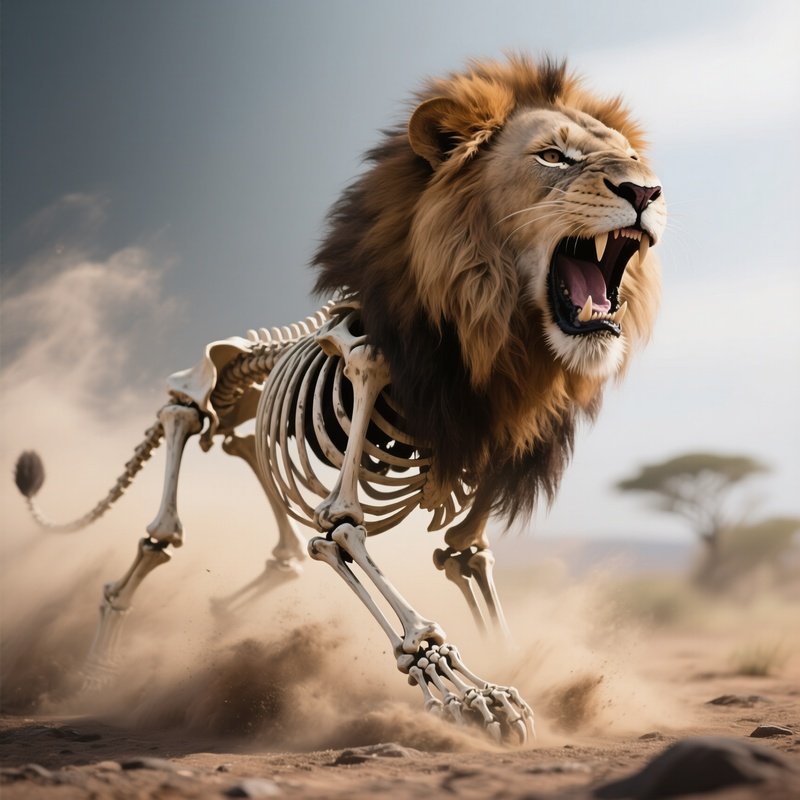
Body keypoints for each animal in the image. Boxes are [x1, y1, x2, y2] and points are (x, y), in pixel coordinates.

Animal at [15, 55, 664, 742]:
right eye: (553, 156)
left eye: (631, 156)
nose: (646, 193)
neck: (491, 346)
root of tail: (247, 345)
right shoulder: (365, 393)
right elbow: (341, 533)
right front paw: (469, 694)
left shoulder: (501, 447)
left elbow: (465, 552)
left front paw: (527, 674)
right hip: (191, 401)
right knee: (165, 505)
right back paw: (93, 676)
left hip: (256, 427)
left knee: (266, 509)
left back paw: (222, 616)